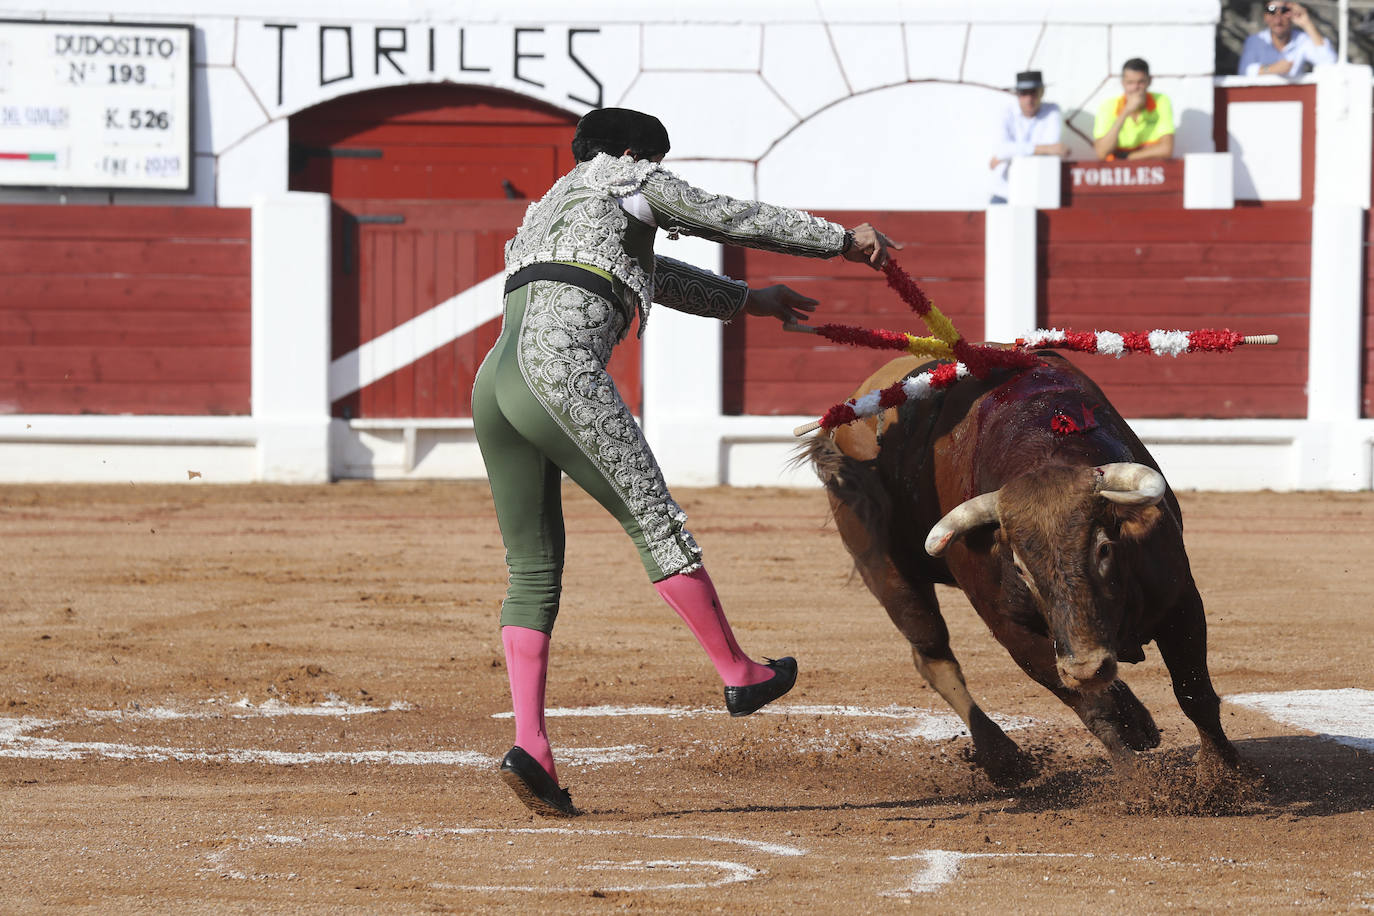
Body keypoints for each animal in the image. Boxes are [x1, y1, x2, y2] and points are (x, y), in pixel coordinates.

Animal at [802, 351, 1247, 791]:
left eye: (1104, 548)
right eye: (1019, 567)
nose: (1086, 667)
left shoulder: (1180, 600)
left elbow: (1194, 695)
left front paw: (1225, 777)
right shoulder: (1014, 633)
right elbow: (1094, 708)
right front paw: (1138, 788)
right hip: (883, 570)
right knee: (932, 653)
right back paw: (1003, 757)